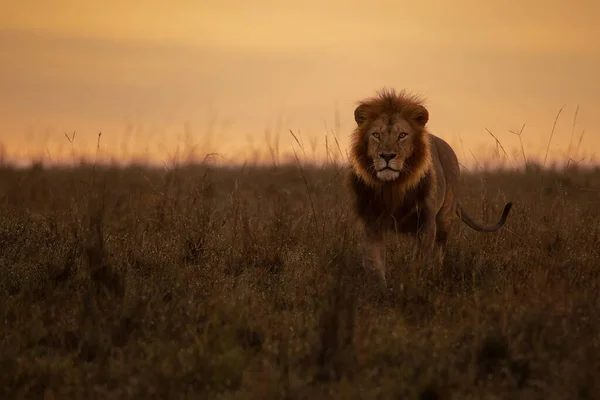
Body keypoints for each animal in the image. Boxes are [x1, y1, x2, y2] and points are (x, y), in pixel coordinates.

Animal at [346, 88, 510, 288]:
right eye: (376, 135)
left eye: (402, 135)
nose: (387, 156)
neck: (393, 187)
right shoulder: (370, 222)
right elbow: (373, 263)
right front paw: (380, 290)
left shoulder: (425, 222)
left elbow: (418, 261)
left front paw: (411, 287)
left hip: (445, 216)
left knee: (440, 249)